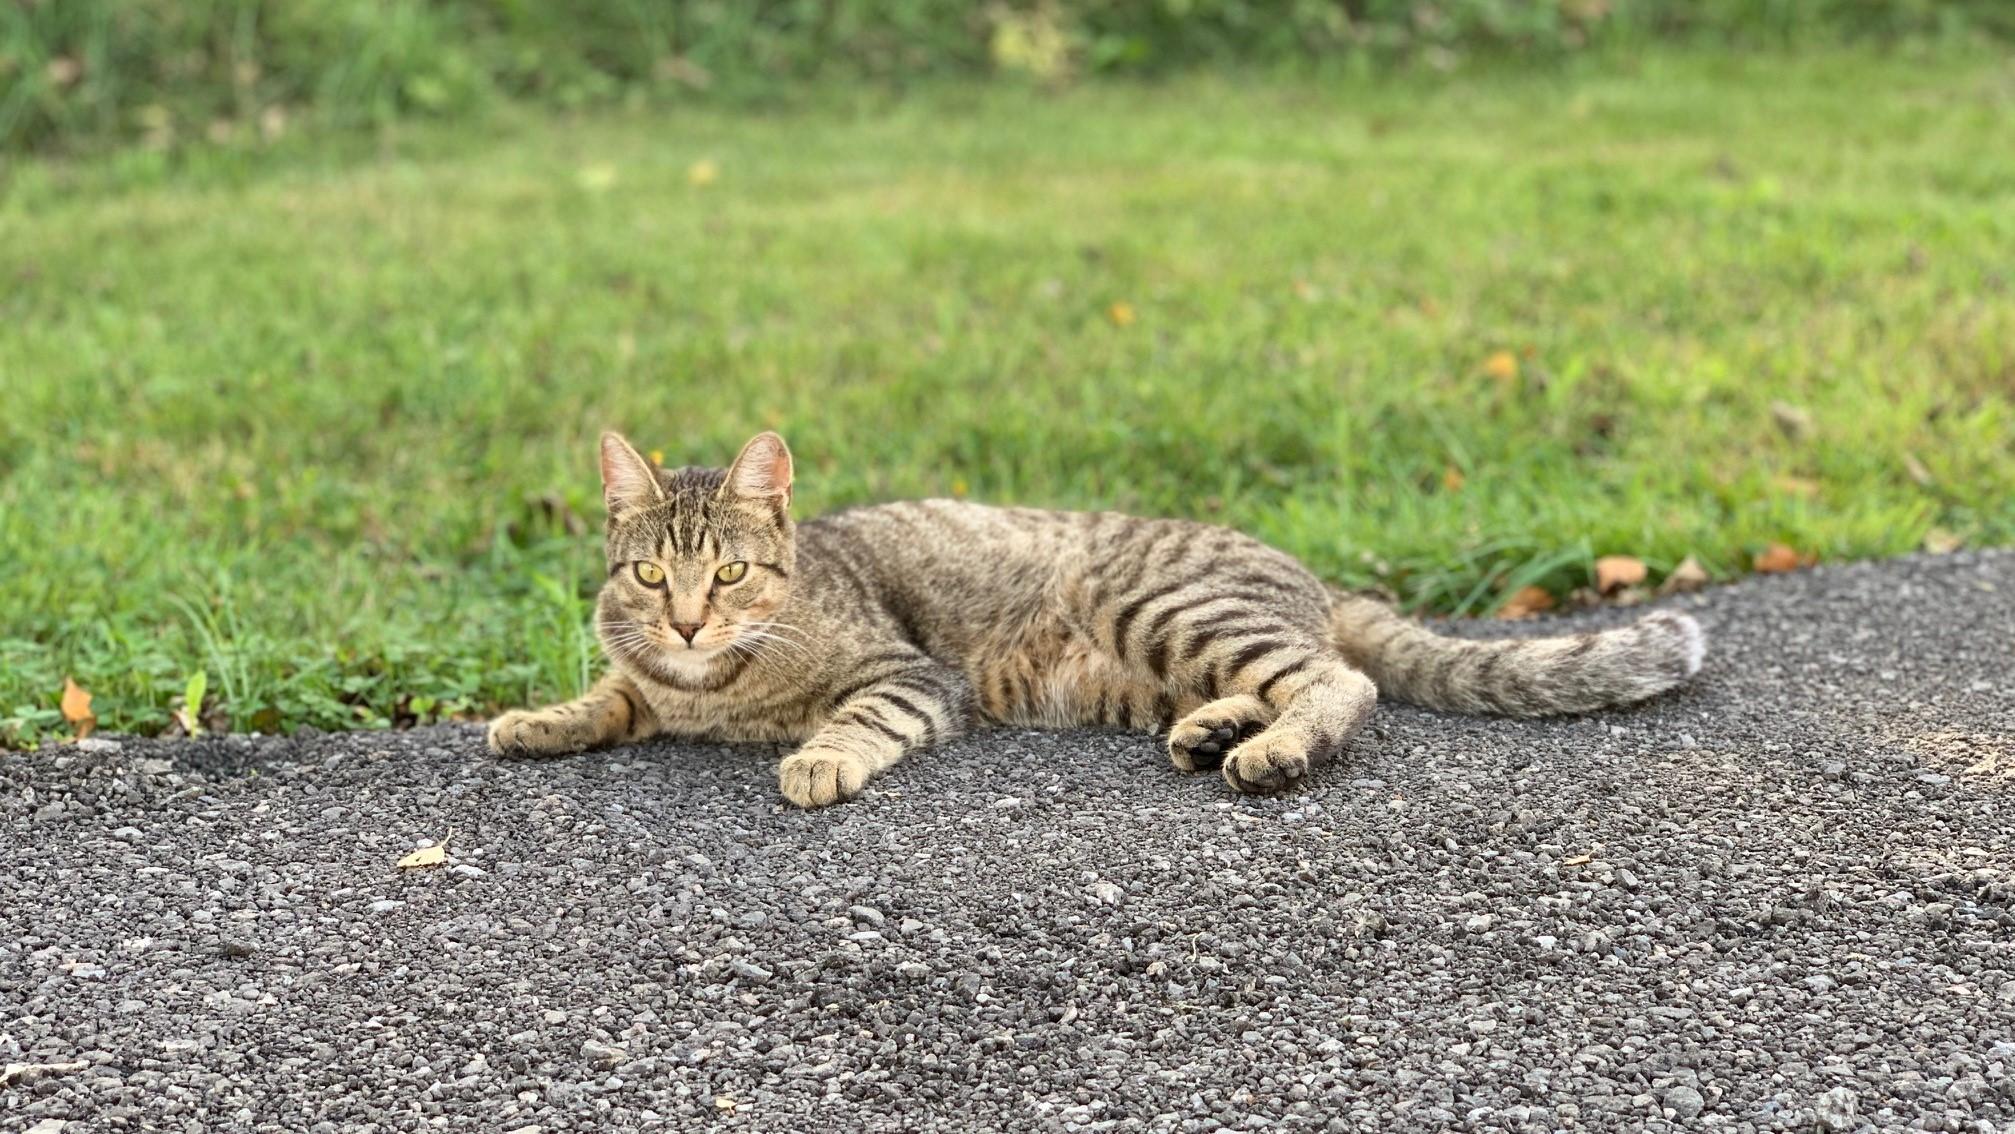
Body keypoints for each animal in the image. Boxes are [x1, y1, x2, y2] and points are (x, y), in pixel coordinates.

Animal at [487, 431, 1700, 813]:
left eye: (732, 573)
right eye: (652, 577)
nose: (691, 625)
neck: (709, 689)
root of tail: (1310, 573)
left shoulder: (909, 674)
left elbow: (856, 720)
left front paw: (817, 757)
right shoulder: (642, 678)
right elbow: (608, 696)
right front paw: (538, 719)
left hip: (1158, 606)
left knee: (1338, 681)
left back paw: (1271, 751)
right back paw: (1217, 730)